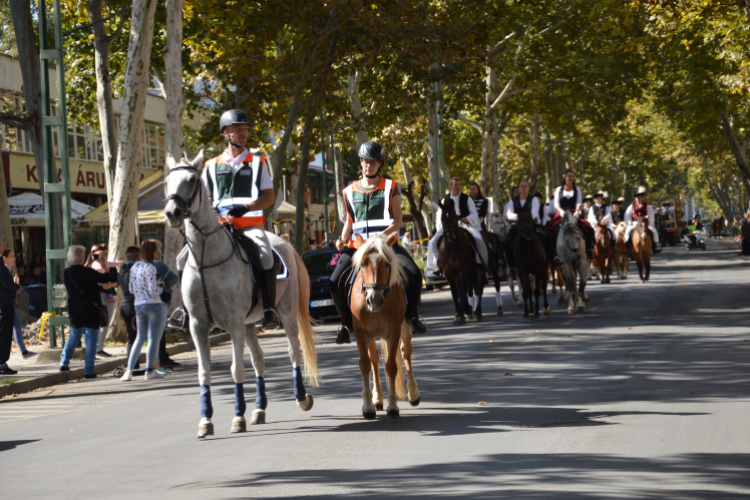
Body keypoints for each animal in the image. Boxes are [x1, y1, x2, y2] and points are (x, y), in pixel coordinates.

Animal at [164, 151, 320, 438]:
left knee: (294, 352)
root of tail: (285, 244)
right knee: (259, 360)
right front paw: (206, 421)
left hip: (286, 314)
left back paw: (301, 398)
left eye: (192, 180)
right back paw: (259, 410)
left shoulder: (234, 323)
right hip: (250, 324)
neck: (207, 258)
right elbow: (204, 372)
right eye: (168, 181)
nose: (172, 213)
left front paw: (237, 417)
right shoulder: (198, 325)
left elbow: (236, 369)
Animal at [352, 232, 420, 420]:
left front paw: (393, 406)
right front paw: (368, 406)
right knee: (374, 358)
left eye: (387, 264)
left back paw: (413, 394)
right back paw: (377, 399)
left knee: (406, 352)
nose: (374, 299)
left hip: (404, 327)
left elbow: (391, 366)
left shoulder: (394, 331)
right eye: (362, 264)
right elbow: (365, 364)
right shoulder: (361, 332)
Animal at [438, 197, 484, 326]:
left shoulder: (464, 269)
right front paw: (458, 314)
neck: (452, 248)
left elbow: (461, 290)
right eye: (442, 218)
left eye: (455, 217)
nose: (450, 238)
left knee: (478, 287)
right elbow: (455, 292)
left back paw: (477, 313)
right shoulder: (448, 272)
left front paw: (460, 315)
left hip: (477, 269)